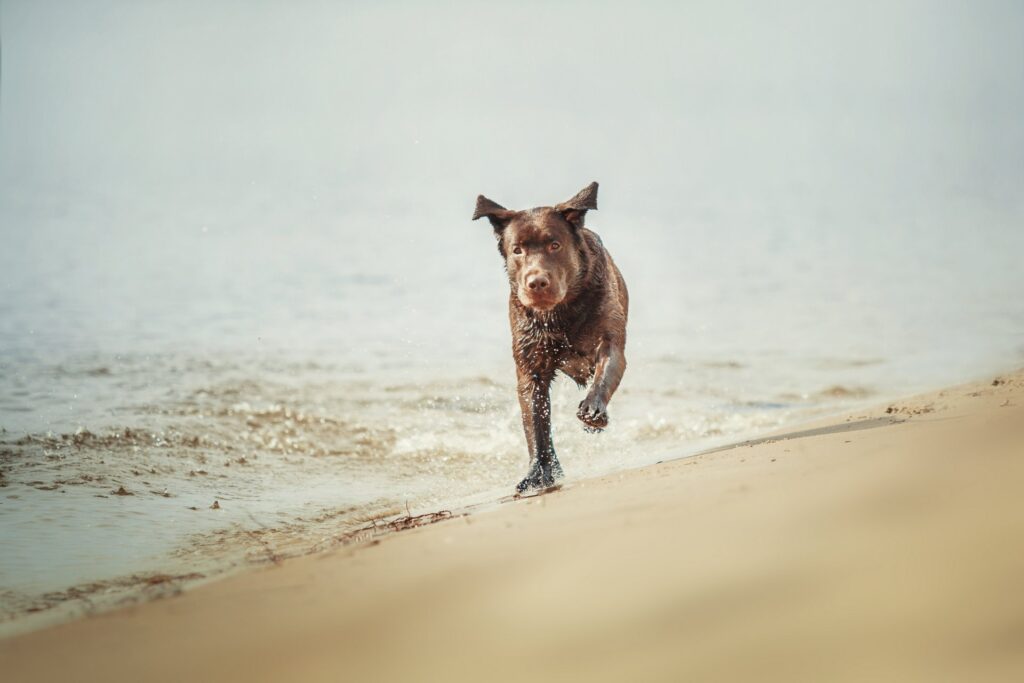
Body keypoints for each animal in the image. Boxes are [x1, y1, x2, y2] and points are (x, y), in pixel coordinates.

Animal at [473, 181, 630, 491]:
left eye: (554, 245)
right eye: (517, 250)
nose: (537, 282)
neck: (559, 315)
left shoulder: (610, 342)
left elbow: (604, 374)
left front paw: (592, 411)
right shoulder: (530, 368)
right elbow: (536, 424)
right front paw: (538, 474)